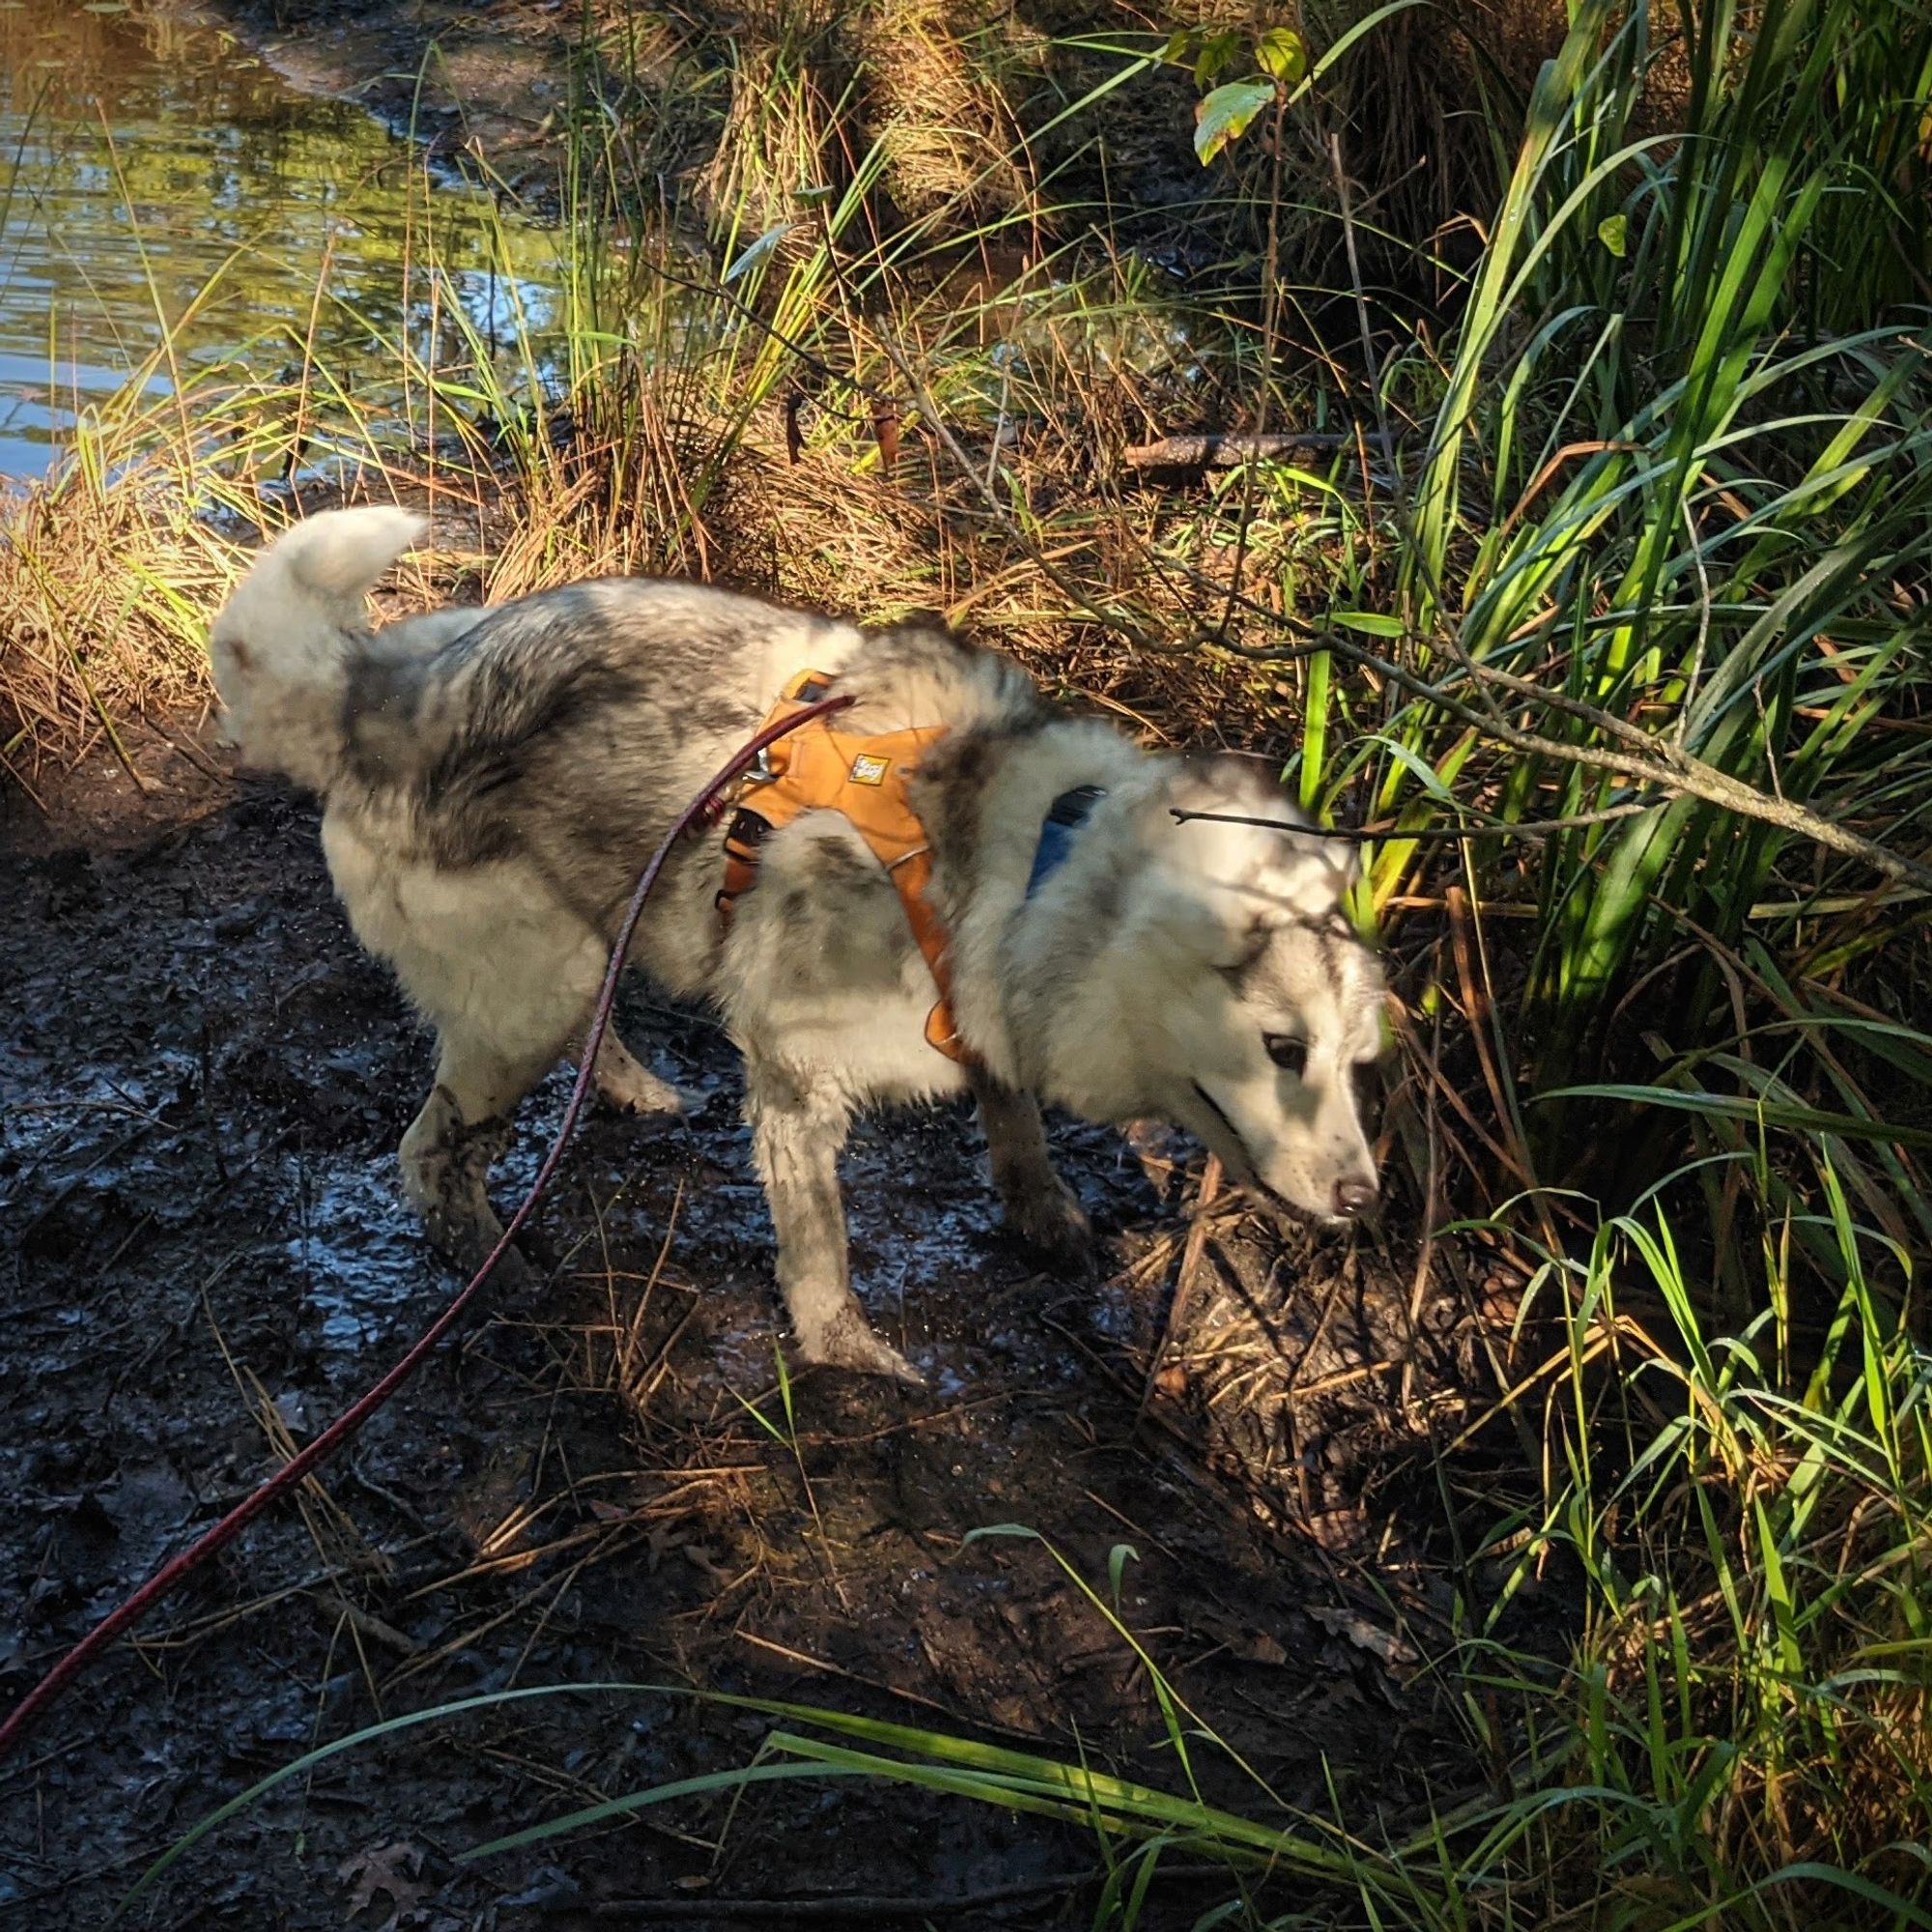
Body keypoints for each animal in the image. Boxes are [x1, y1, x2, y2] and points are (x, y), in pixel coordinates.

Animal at [212, 506, 1391, 1383]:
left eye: (1356, 1063)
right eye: (1282, 1049)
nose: (1364, 1201)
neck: (1032, 855)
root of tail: (376, 694)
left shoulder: (979, 1007)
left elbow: (1013, 1119)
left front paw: (1044, 1211)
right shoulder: (795, 1075)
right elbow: (820, 1249)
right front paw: (847, 1356)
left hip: (572, 950)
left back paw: (633, 1087)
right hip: (522, 1005)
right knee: (430, 1158)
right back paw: (495, 1281)